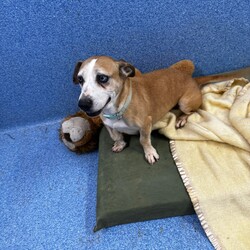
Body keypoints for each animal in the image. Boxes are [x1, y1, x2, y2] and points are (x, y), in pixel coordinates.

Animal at [72, 55, 246, 164]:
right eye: (80, 79)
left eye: (102, 78)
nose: (83, 104)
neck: (117, 111)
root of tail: (192, 79)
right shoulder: (109, 125)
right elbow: (116, 136)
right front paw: (120, 143)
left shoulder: (145, 124)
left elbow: (144, 140)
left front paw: (149, 152)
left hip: (184, 102)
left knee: (192, 111)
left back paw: (181, 119)